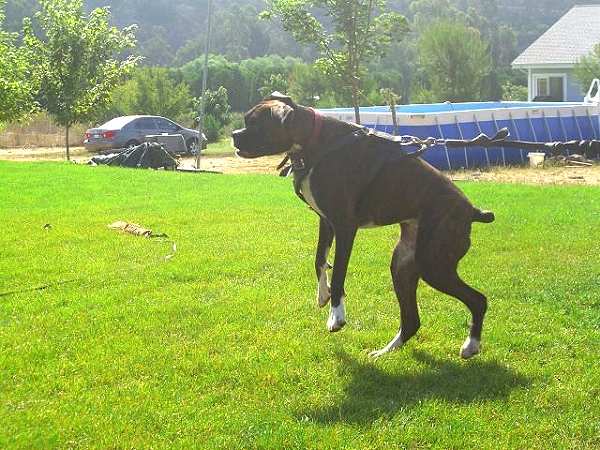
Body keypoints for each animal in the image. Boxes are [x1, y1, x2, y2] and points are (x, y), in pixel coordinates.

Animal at [232, 94, 494, 358]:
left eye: (255, 123)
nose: (234, 134)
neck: (314, 142)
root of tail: (472, 211)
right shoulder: (325, 221)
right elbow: (319, 260)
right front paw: (322, 294)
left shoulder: (344, 226)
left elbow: (338, 271)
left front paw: (336, 315)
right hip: (403, 266)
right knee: (412, 320)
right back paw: (385, 352)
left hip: (433, 264)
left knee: (478, 300)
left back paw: (471, 345)